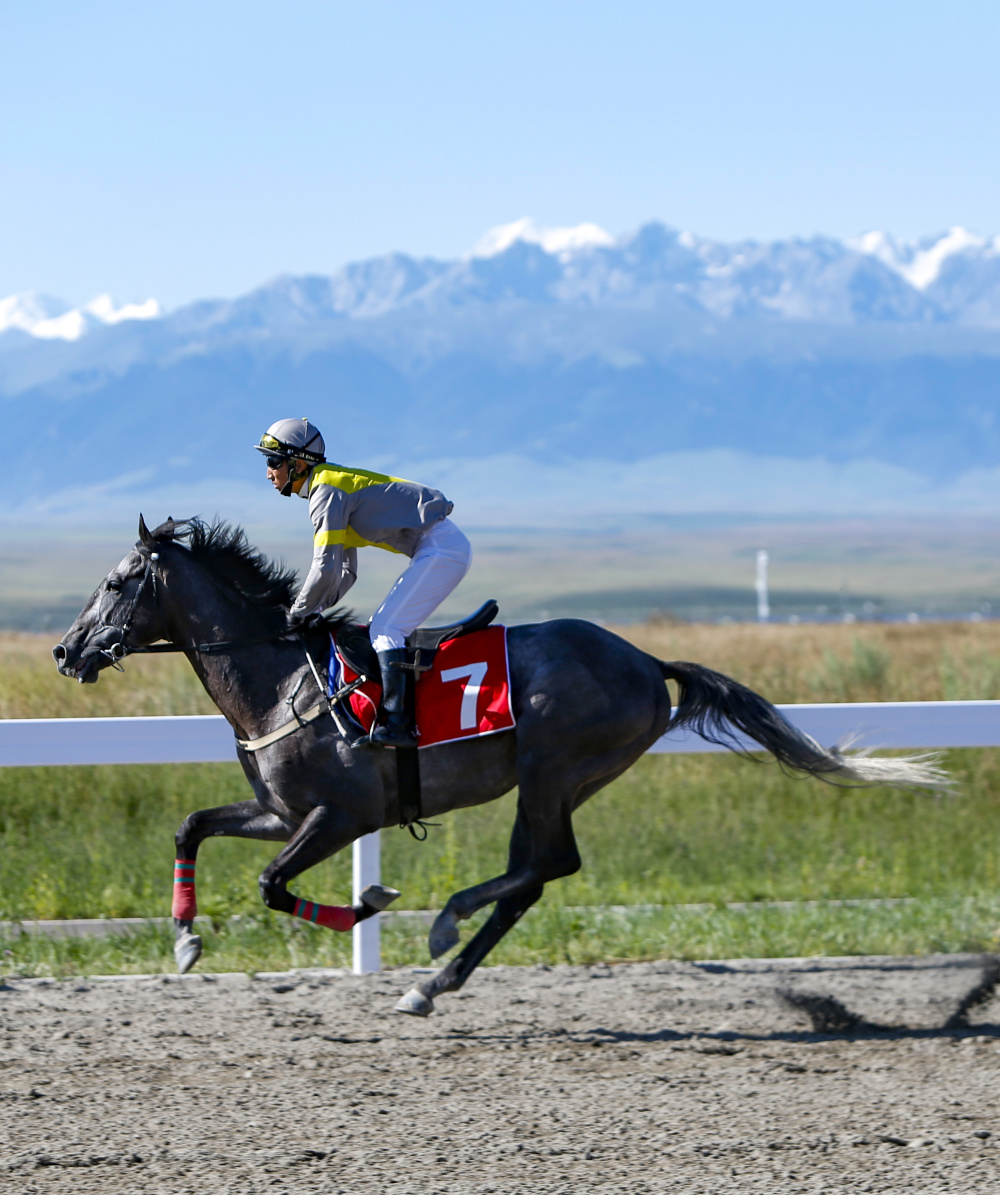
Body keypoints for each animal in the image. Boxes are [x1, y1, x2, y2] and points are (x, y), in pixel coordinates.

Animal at [52, 518, 946, 1013]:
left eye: (117, 581)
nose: (66, 649)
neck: (280, 680)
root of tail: (644, 658)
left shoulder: (341, 815)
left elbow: (274, 884)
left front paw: (372, 901)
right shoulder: (283, 810)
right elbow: (190, 825)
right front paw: (183, 940)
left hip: (553, 767)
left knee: (542, 864)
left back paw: (443, 935)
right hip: (566, 778)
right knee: (539, 873)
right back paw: (435, 976)